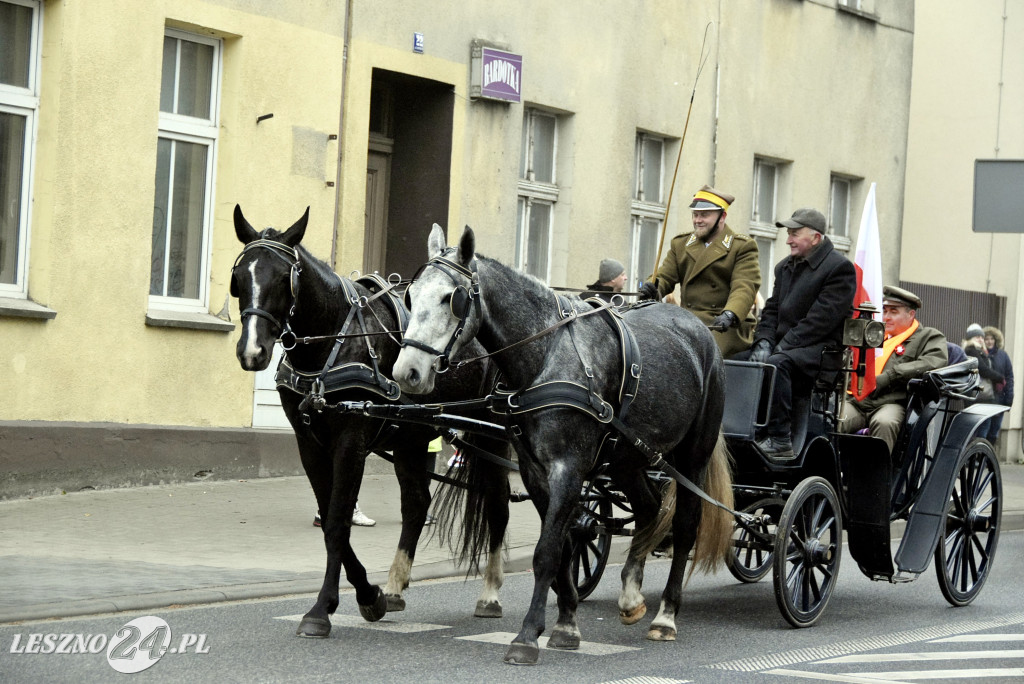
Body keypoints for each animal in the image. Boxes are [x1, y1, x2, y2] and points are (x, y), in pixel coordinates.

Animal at [228, 205, 507, 638]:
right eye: (239, 278)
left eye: (281, 279)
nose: (252, 351)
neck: (334, 342)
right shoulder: (309, 443)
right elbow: (330, 517)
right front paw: (369, 595)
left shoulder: (351, 440)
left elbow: (338, 520)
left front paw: (321, 610)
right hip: (412, 439)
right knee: (417, 504)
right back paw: (394, 586)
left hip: (494, 437)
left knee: (498, 506)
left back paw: (490, 593)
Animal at [391, 227, 737, 663]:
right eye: (410, 296)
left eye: (450, 298)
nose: (407, 372)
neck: (545, 355)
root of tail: (696, 327)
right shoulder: (535, 472)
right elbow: (566, 546)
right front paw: (566, 624)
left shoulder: (567, 468)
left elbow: (547, 552)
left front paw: (526, 637)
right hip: (628, 458)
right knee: (648, 508)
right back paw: (630, 595)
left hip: (692, 457)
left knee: (685, 527)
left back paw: (666, 617)